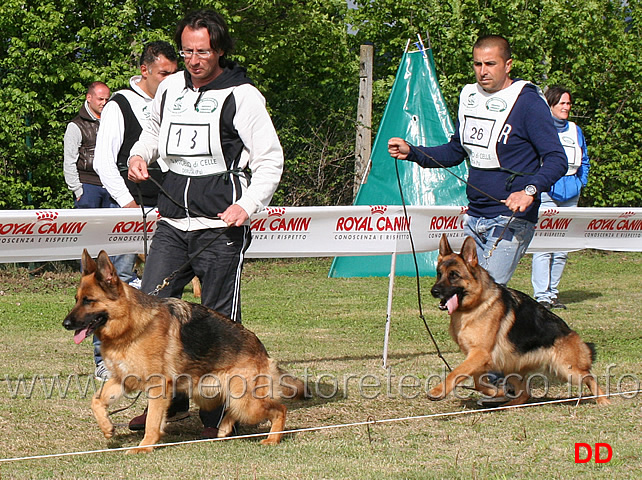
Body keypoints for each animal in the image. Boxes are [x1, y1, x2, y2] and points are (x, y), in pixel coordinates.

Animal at [61, 249, 306, 452]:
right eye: (76, 299)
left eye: (89, 301)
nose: (65, 323)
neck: (131, 326)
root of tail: (260, 348)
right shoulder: (123, 379)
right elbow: (96, 401)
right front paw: (107, 427)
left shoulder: (157, 386)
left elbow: (152, 421)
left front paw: (144, 447)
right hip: (212, 394)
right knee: (233, 411)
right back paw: (224, 428)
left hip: (245, 401)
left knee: (280, 409)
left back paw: (272, 438)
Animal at [428, 234, 608, 406]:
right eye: (439, 274)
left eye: (454, 275)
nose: (433, 291)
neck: (476, 305)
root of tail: (570, 332)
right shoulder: (477, 358)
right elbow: (478, 383)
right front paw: (497, 392)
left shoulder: (480, 354)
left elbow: (456, 372)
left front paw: (438, 391)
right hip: (511, 364)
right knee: (525, 393)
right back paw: (509, 404)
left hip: (567, 369)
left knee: (589, 377)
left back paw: (604, 400)